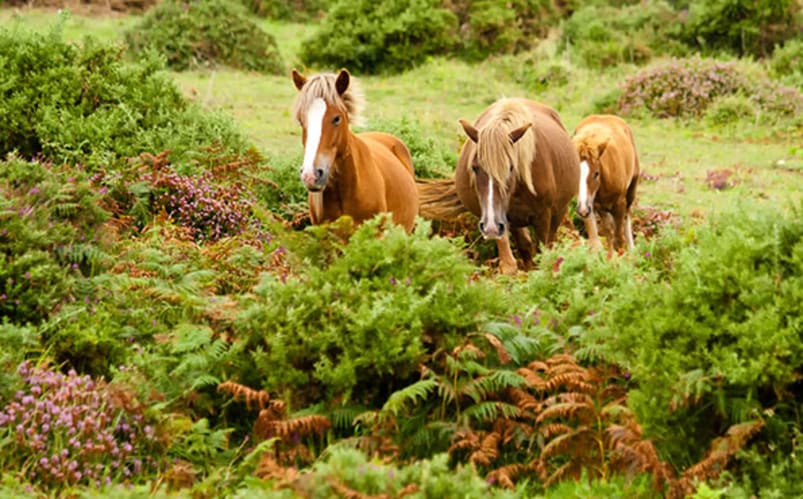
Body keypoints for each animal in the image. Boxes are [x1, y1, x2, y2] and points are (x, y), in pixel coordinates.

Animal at [456, 98, 580, 276]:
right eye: (475, 167)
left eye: (510, 167)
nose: (491, 227)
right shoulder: (500, 219)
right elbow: (512, 261)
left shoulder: (543, 216)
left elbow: (543, 254)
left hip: (559, 211)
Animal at [572, 115, 640, 252]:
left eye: (596, 173)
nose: (582, 210)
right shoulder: (593, 205)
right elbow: (601, 236)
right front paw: (610, 255)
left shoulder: (620, 203)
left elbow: (619, 237)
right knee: (609, 228)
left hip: (632, 189)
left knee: (627, 216)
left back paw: (631, 247)